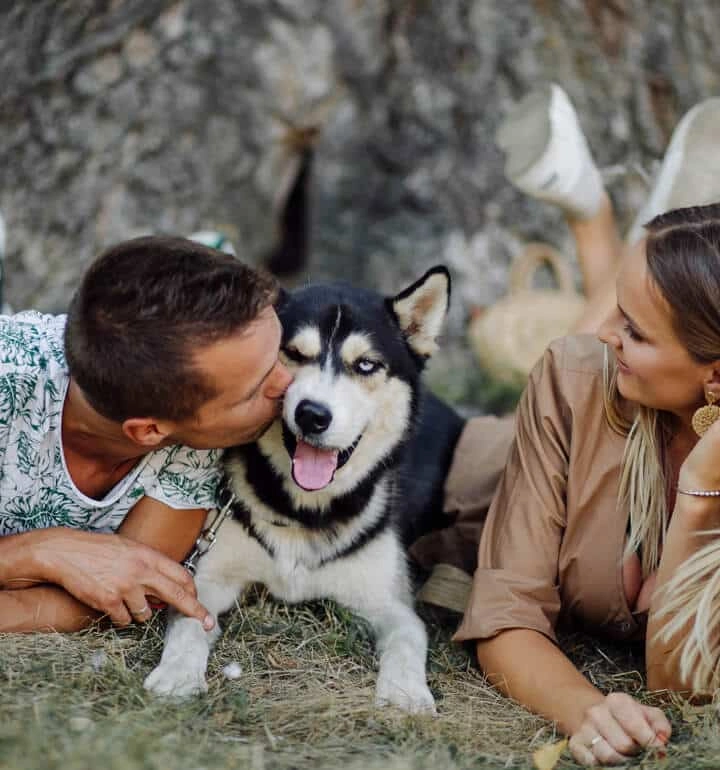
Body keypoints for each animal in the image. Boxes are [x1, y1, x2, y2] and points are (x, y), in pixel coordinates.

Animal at [143, 268, 464, 712]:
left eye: (366, 364)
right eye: (293, 353)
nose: (312, 414)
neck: (304, 511)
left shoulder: (390, 603)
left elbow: (408, 638)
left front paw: (405, 694)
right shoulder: (208, 578)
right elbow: (190, 621)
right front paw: (176, 675)